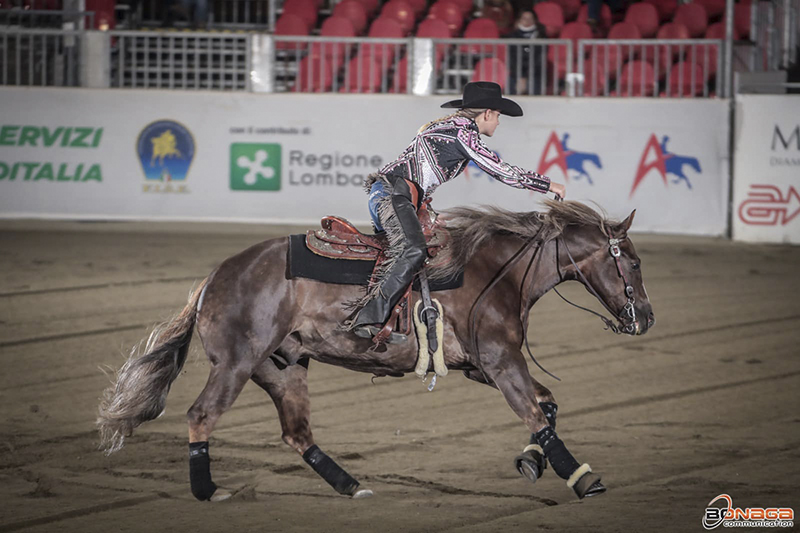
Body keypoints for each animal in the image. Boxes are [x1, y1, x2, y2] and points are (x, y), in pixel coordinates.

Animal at [95, 198, 656, 502]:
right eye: (631, 260)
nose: (646, 317)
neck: (494, 270)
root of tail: (214, 277)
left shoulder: (482, 366)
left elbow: (547, 405)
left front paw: (531, 463)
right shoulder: (500, 362)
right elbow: (536, 414)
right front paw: (583, 479)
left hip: (283, 368)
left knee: (297, 434)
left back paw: (351, 487)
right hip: (235, 365)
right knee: (201, 415)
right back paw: (209, 491)